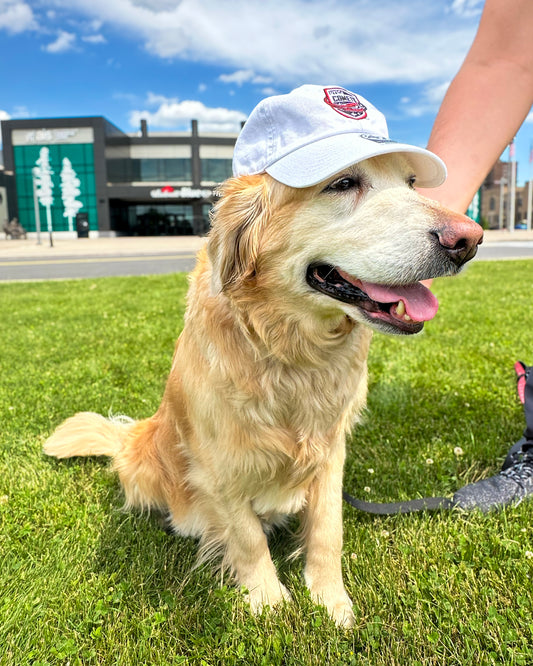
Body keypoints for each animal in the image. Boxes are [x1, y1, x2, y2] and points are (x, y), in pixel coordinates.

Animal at [44, 85, 482, 624]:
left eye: (412, 182)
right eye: (343, 183)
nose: (470, 239)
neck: (291, 350)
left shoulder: (331, 451)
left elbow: (328, 530)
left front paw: (330, 599)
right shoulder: (219, 462)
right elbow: (247, 538)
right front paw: (269, 604)